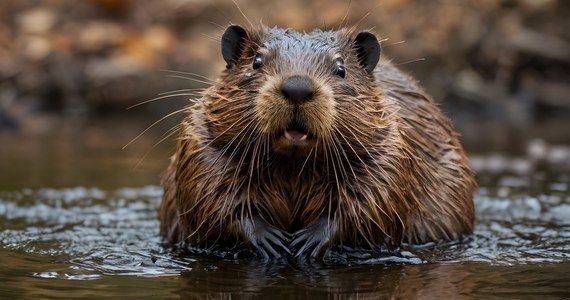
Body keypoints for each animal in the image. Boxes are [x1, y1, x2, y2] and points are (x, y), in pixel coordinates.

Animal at [159, 25, 474, 260]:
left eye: (341, 68)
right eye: (256, 61)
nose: (297, 87)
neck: (293, 166)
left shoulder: (391, 148)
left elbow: (374, 199)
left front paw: (307, 241)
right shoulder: (201, 143)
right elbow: (209, 196)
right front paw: (270, 239)